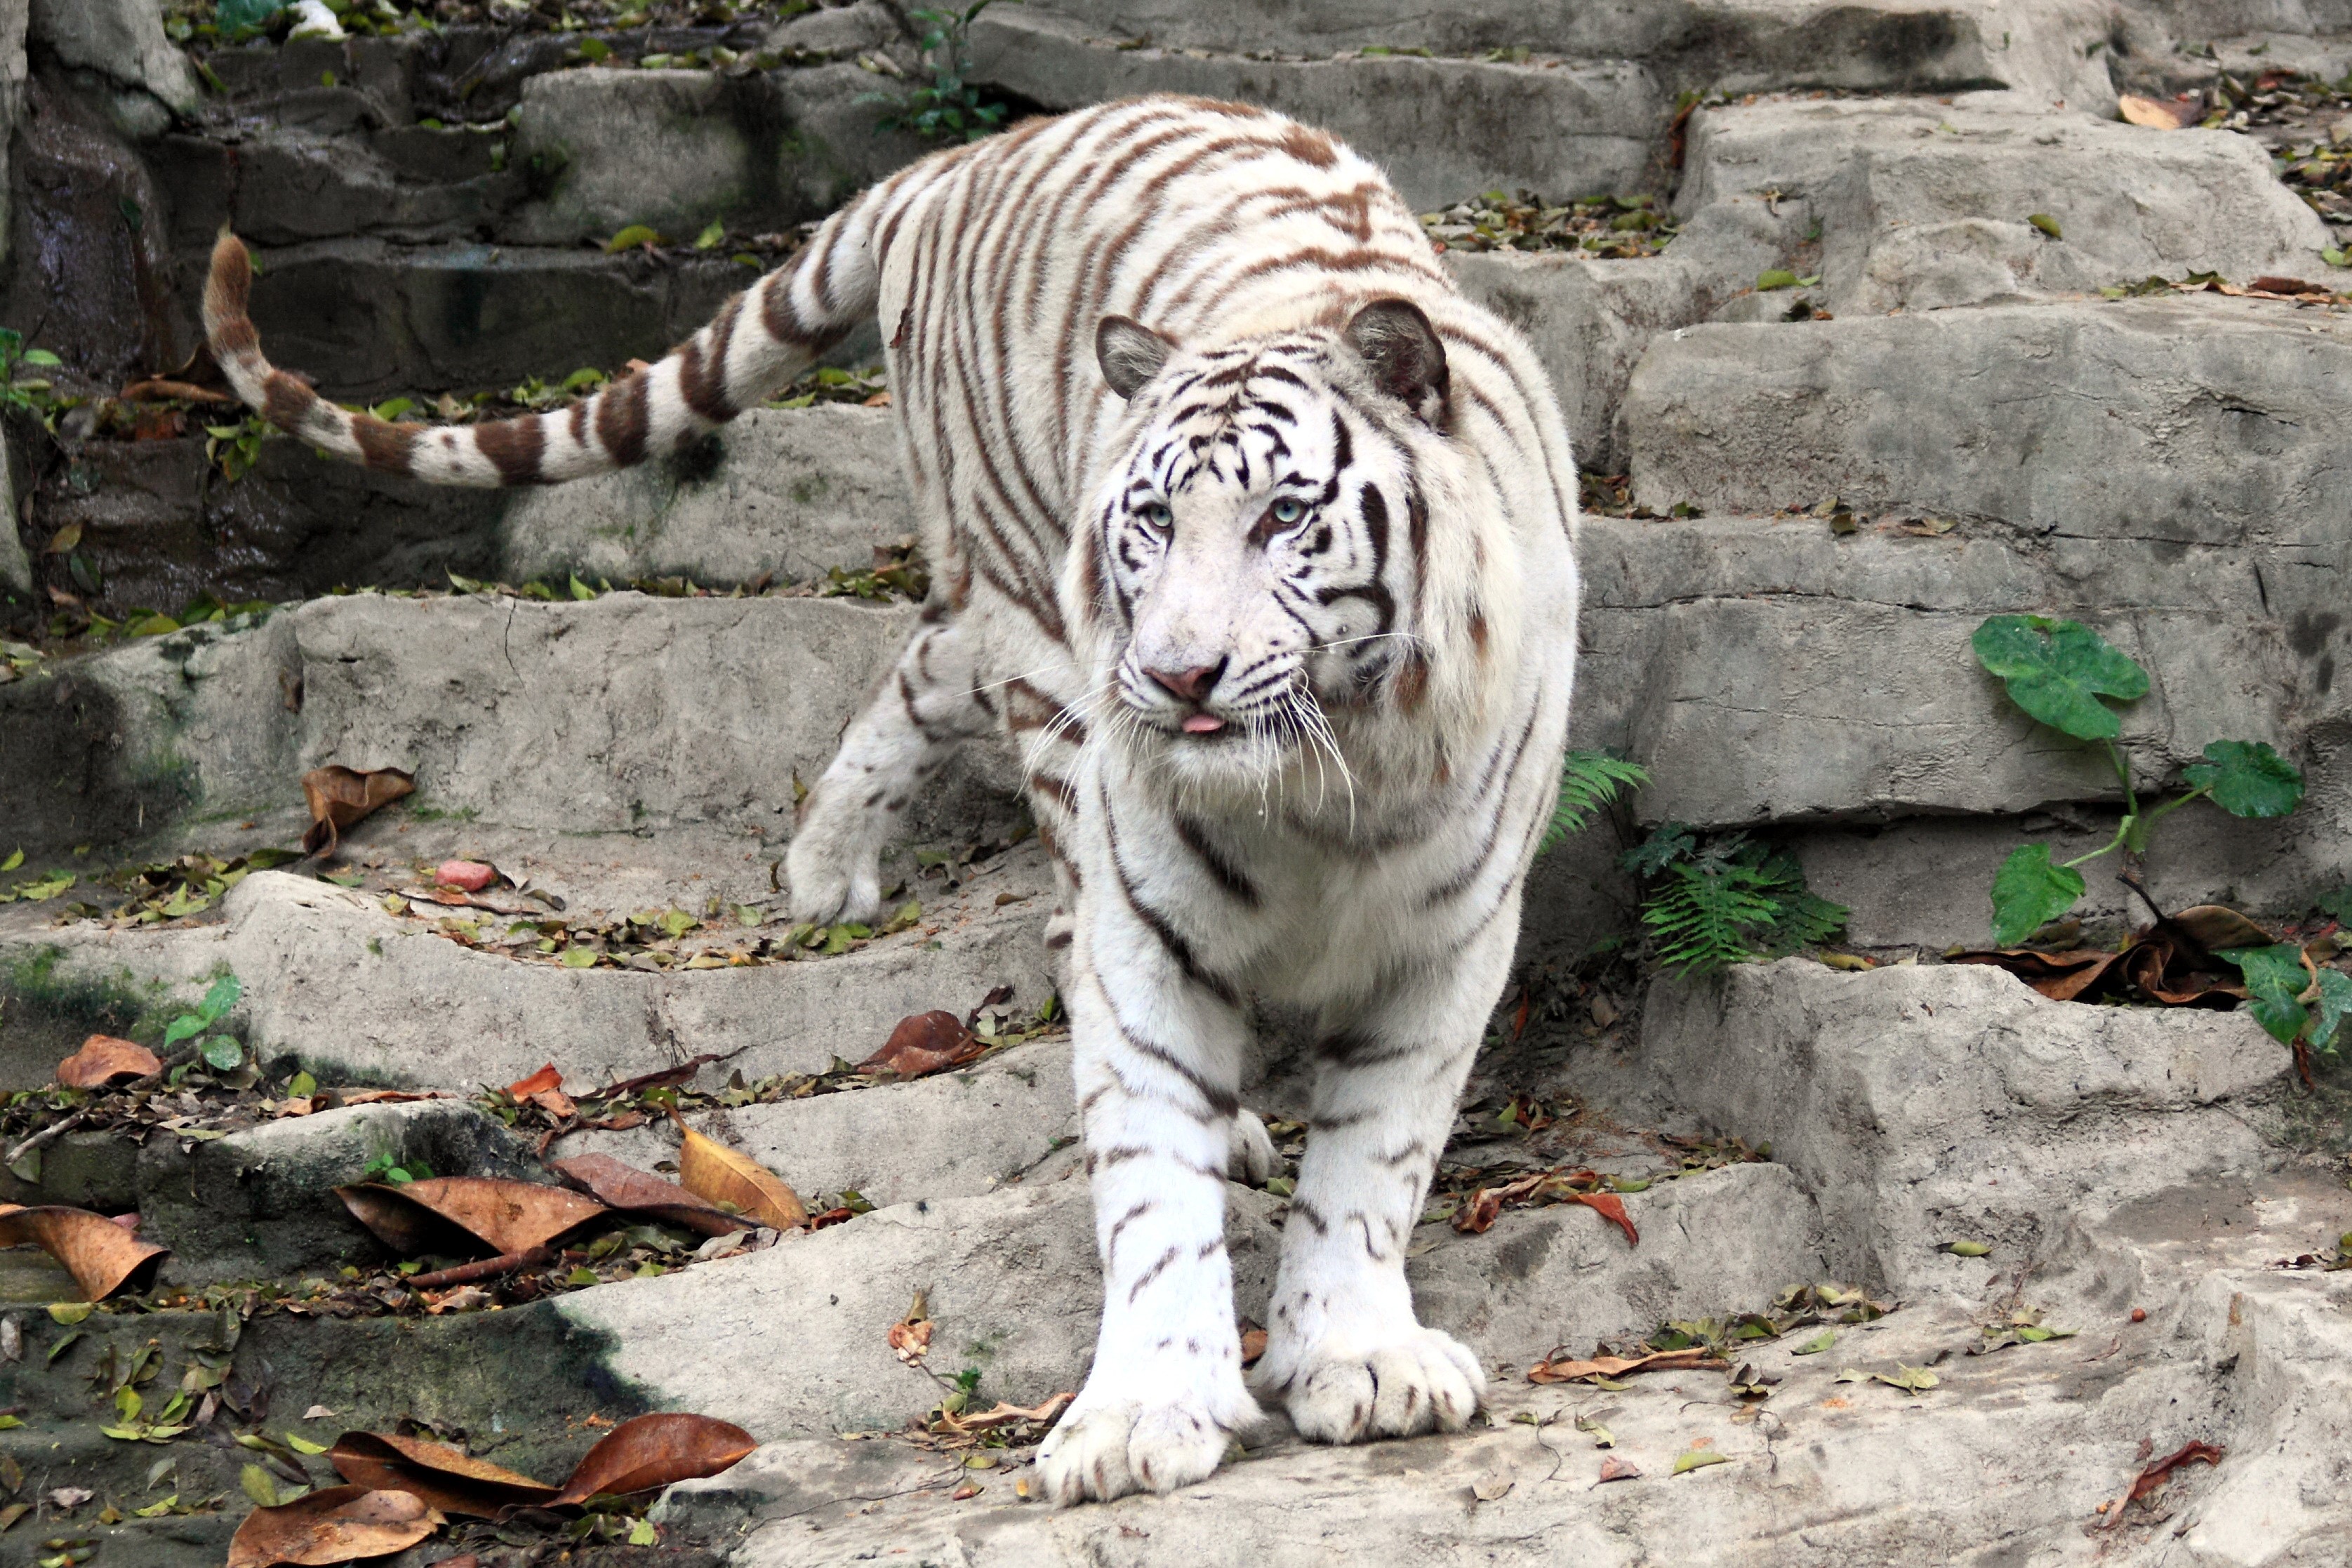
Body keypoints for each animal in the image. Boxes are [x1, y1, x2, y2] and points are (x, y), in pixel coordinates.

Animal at [202, 93, 1579, 1504]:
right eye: (1150, 519)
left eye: (1286, 516)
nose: (1176, 672)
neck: (1320, 780)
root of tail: (962, 157)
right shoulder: (1147, 925)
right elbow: (1152, 1177)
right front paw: (1143, 1413)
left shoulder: (1449, 936)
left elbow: (1372, 1162)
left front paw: (1358, 1359)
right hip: (1035, 626)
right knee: (1017, 786)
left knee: (924, 663)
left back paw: (825, 869)